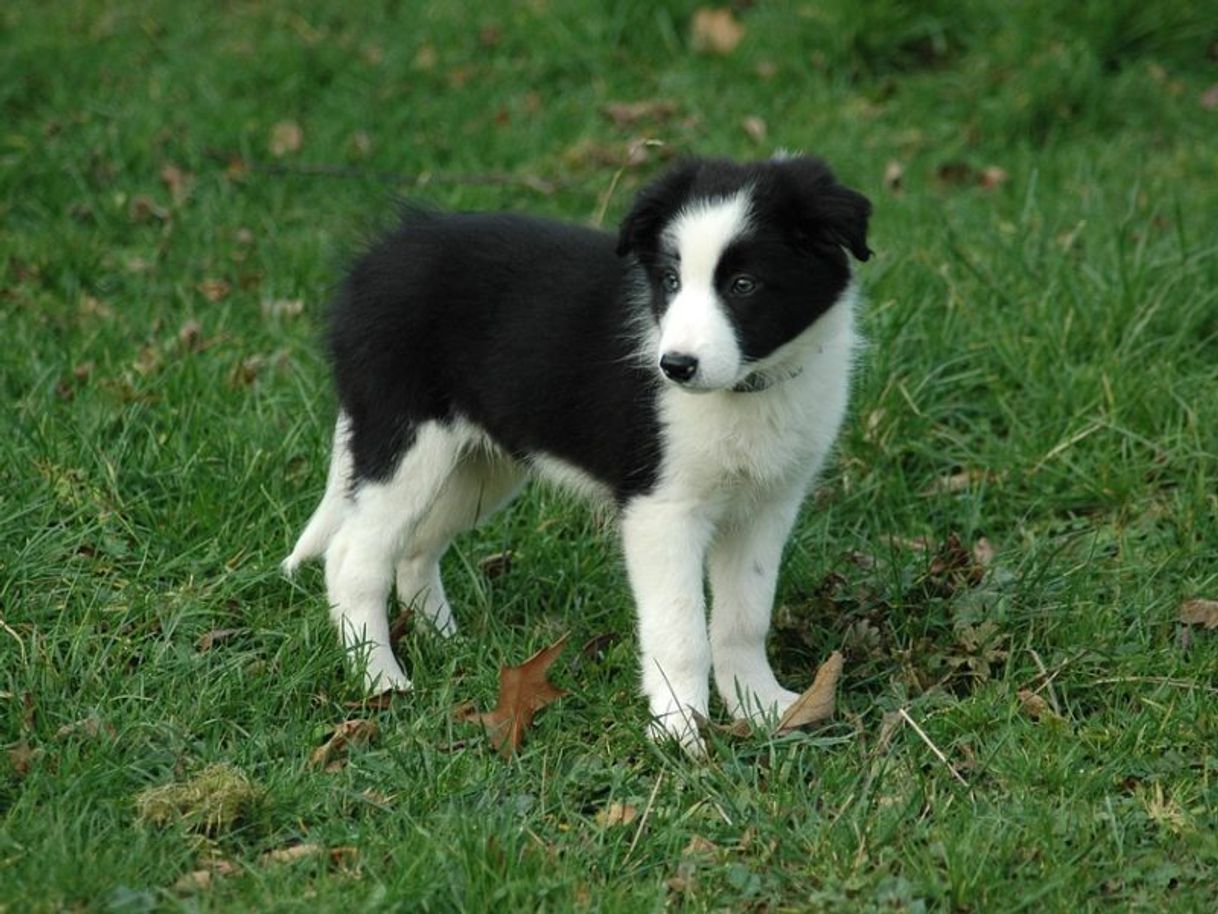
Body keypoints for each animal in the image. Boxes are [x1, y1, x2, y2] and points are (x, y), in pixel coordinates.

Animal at [282, 155, 876, 750]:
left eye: (744, 285)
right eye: (671, 281)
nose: (675, 367)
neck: (749, 388)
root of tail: (375, 260)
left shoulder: (767, 506)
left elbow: (743, 618)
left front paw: (763, 706)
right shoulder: (662, 510)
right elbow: (679, 630)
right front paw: (679, 731)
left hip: (480, 466)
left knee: (414, 548)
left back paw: (446, 642)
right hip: (405, 440)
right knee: (352, 557)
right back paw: (381, 679)